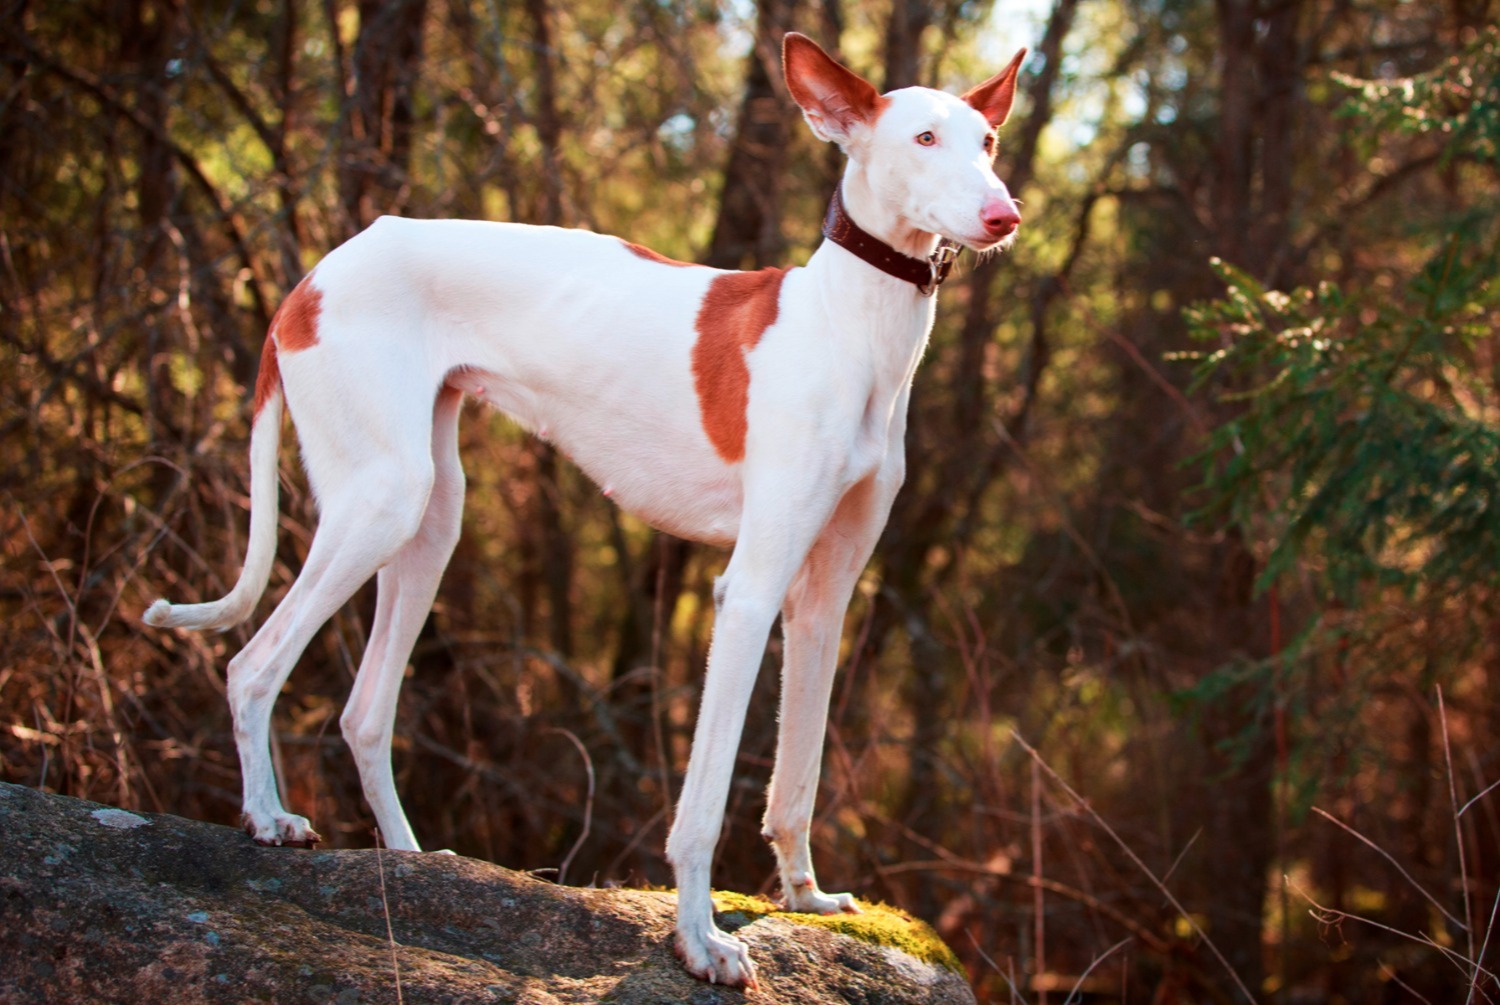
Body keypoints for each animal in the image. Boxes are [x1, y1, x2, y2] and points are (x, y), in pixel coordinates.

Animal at [146, 35, 1026, 990]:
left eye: (987, 142)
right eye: (924, 138)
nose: (1006, 214)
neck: (848, 324)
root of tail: (315, 273)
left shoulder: (821, 602)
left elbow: (798, 772)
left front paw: (803, 894)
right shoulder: (748, 592)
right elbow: (703, 804)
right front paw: (700, 941)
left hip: (431, 520)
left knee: (364, 709)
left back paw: (415, 858)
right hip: (380, 500)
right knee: (252, 665)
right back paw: (268, 818)